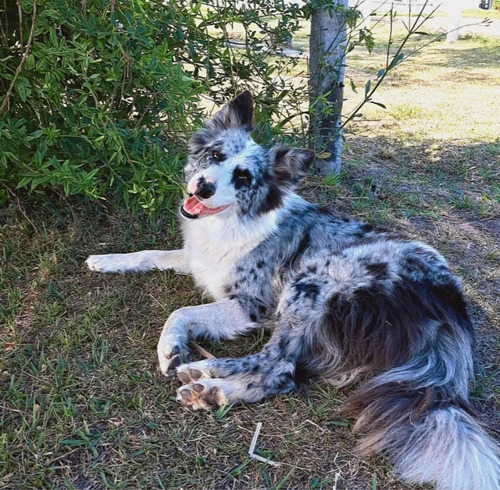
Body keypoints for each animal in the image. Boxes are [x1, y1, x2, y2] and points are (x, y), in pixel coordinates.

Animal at [88, 92, 500, 490]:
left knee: (278, 365)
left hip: (309, 286)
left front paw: (170, 348)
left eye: (243, 177)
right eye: (215, 155)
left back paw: (203, 371)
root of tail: (450, 306)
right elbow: (152, 253)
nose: (202, 187)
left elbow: (180, 312)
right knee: (282, 375)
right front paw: (106, 260)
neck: (233, 221)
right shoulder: (199, 260)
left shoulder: (250, 305)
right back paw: (212, 393)